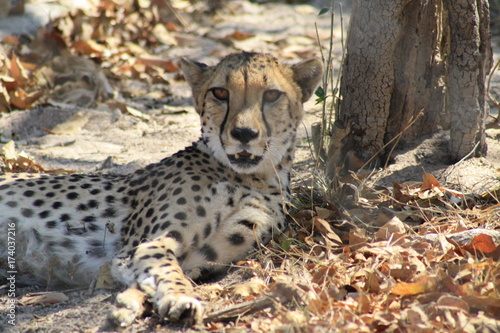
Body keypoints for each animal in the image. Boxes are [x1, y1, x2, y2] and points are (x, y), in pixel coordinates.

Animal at [0, 52, 324, 324]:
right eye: (220, 93)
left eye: (272, 95)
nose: (244, 133)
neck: (251, 177)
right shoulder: (144, 244)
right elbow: (168, 270)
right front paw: (179, 298)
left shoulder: (201, 257)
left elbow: (162, 275)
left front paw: (129, 304)